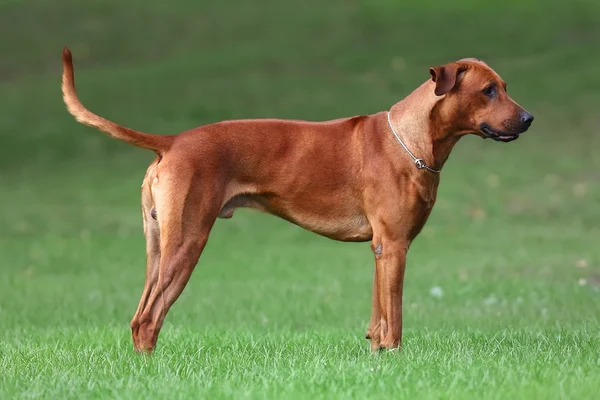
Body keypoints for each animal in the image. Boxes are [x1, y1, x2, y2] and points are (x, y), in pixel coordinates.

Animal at [61, 47, 536, 354]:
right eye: (488, 91)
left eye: (505, 87)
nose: (529, 118)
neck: (412, 139)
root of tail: (173, 141)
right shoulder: (396, 246)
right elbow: (396, 320)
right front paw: (399, 363)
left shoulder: (381, 249)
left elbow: (378, 318)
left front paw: (377, 360)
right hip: (187, 244)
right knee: (148, 319)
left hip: (159, 247)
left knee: (140, 314)